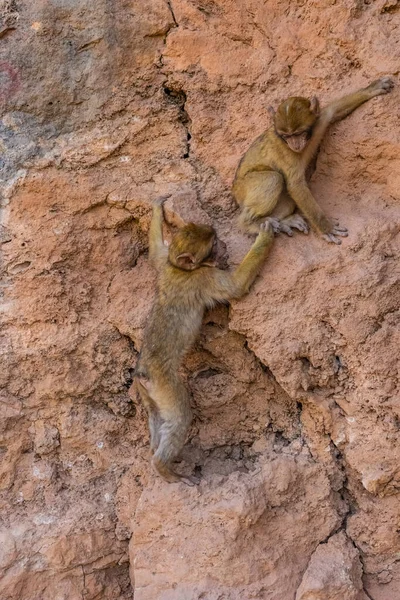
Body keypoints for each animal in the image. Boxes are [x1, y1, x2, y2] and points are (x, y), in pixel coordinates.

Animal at [134, 196, 276, 482]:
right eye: (212, 244)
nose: (221, 243)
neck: (179, 267)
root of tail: (144, 373)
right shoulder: (203, 278)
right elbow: (235, 287)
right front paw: (264, 237)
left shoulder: (164, 262)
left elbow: (156, 251)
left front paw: (157, 209)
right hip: (166, 386)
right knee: (178, 417)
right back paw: (164, 467)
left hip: (147, 393)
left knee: (156, 417)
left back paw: (155, 453)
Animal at [234, 77, 394, 244]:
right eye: (287, 136)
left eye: (298, 133)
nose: (294, 144)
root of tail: (235, 191)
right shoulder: (285, 152)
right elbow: (296, 186)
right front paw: (326, 228)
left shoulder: (318, 121)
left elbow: (333, 110)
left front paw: (372, 89)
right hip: (243, 188)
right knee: (273, 178)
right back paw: (249, 224)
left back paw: (283, 221)